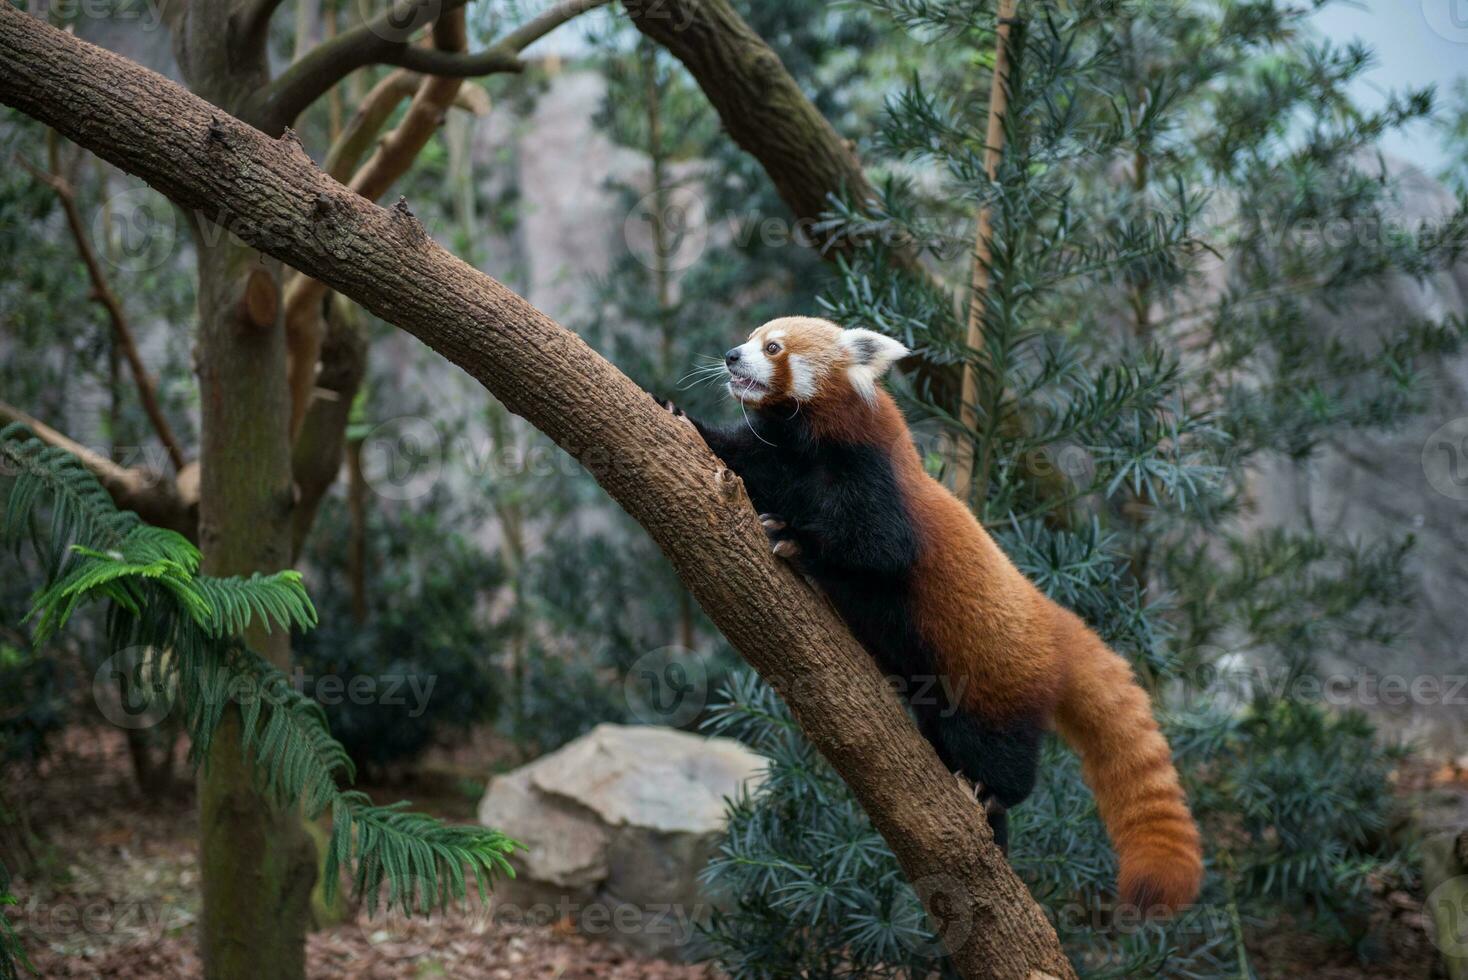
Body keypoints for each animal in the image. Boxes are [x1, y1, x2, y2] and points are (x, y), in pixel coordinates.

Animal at [672, 318, 1197, 915]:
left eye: (773, 347)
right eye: (752, 336)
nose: (731, 355)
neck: (811, 443)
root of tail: (1053, 621)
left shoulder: (874, 483)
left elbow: (875, 549)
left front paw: (797, 540)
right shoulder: (781, 460)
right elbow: (744, 458)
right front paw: (677, 413)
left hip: (995, 684)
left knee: (1001, 753)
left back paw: (993, 795)